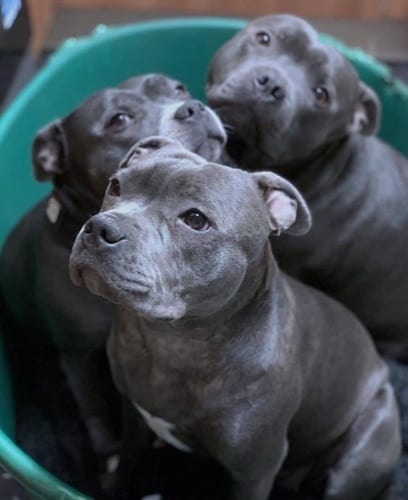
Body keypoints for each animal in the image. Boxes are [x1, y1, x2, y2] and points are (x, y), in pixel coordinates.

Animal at [71, 136, 402, 500]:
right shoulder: (134, 420)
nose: (100, 227)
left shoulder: (254, 470)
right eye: (116, 186)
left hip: (357, 460)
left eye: (196, 219)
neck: (173, 344)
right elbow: (129, 467)